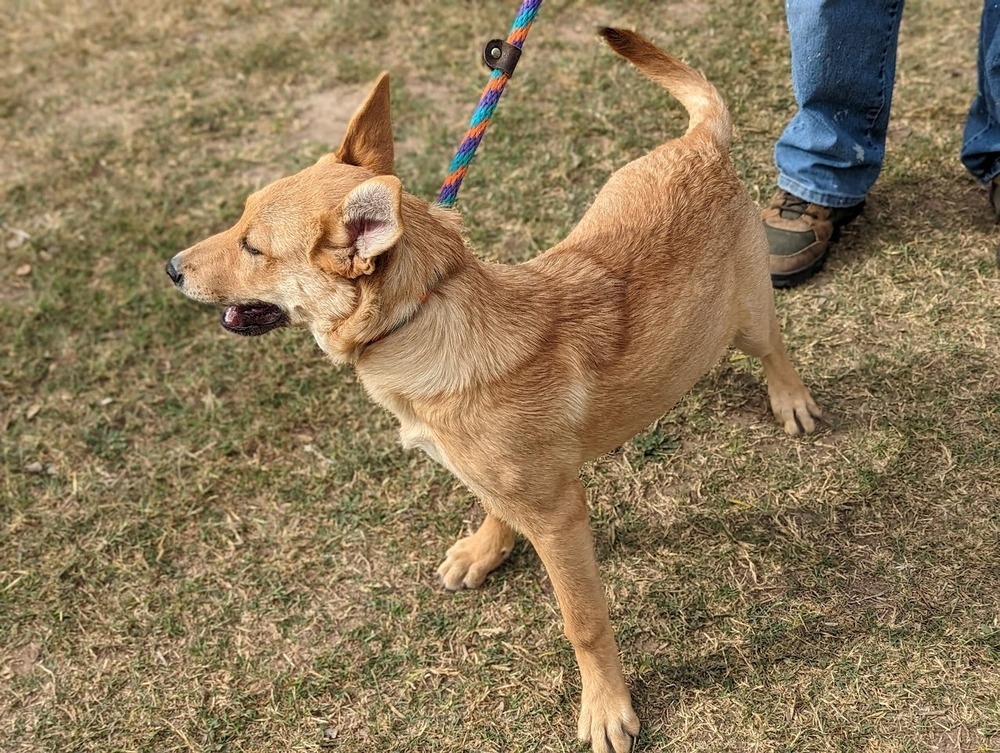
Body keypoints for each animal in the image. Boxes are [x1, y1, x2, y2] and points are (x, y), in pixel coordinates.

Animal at [166, 29, 820, 752]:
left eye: (254, 248)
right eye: (239, 221)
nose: (171, 268)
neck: (422, 316)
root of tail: (700, 141)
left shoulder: (561, 517)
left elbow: (583, 623)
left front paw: (606, 706)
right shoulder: (493, 475)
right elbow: (491, 504)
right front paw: (485, 548)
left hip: (749, 315)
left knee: (776, 346)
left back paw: (791, 399)